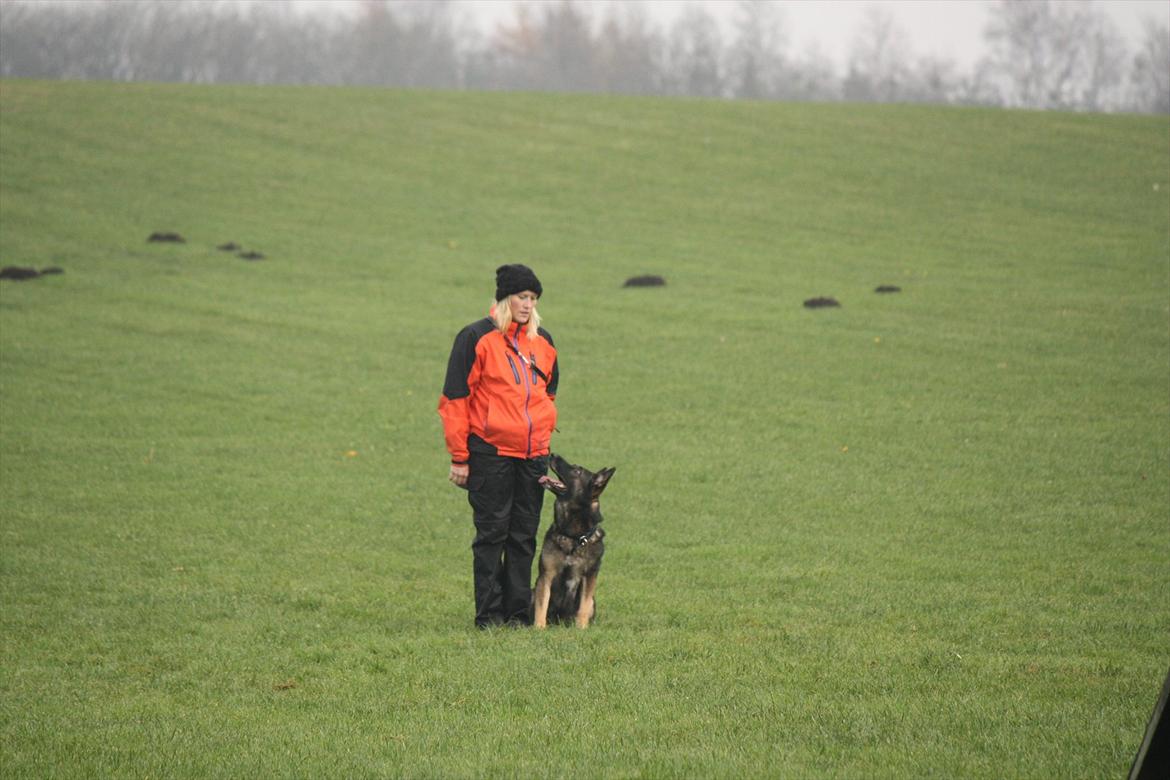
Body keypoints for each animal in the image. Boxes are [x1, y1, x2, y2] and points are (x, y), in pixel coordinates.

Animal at [535, 458, 617, 626]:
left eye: (577, 471)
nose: (553, 455)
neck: (573, 536)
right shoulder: (546, 576)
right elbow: (541, 605)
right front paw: (538, 628)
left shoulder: (589, 576)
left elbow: (584, 606)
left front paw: (581, 628)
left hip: (593, 601)